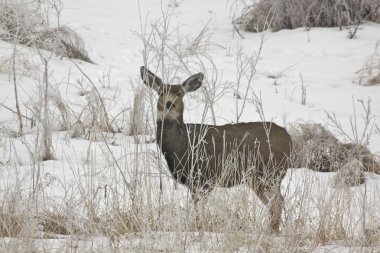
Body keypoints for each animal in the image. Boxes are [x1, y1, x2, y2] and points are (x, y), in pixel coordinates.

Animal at [141, 65, 292, 233]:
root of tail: (289, 138)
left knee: (277, 202)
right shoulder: (195, 183)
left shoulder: (205, 178)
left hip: (267, 173)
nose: (169, 104)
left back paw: (271, 231)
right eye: (161, 92)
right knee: (277, 202)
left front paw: (199, 229)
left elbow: (199, 211)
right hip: (264, 176)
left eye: (179, 93)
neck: (183, 144)